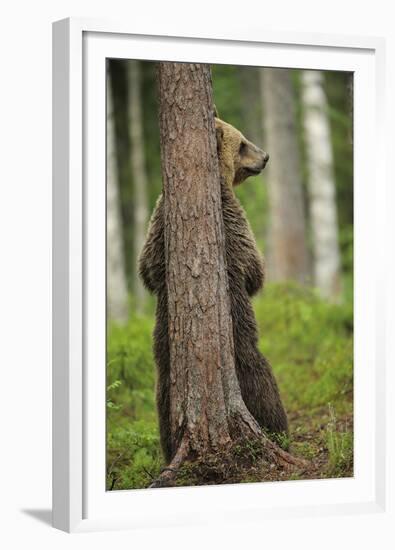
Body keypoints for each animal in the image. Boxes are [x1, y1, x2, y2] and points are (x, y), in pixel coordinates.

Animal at [141, 114, 290, 464]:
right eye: (244, 143)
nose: (266, 157)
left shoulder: (157, 223)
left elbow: (147, 269)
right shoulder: (232, 218)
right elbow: (253, 268)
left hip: (164, 362)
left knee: (163, 400)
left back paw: (169, 447)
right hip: (241, 345)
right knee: (262, 380)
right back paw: (279, 432)